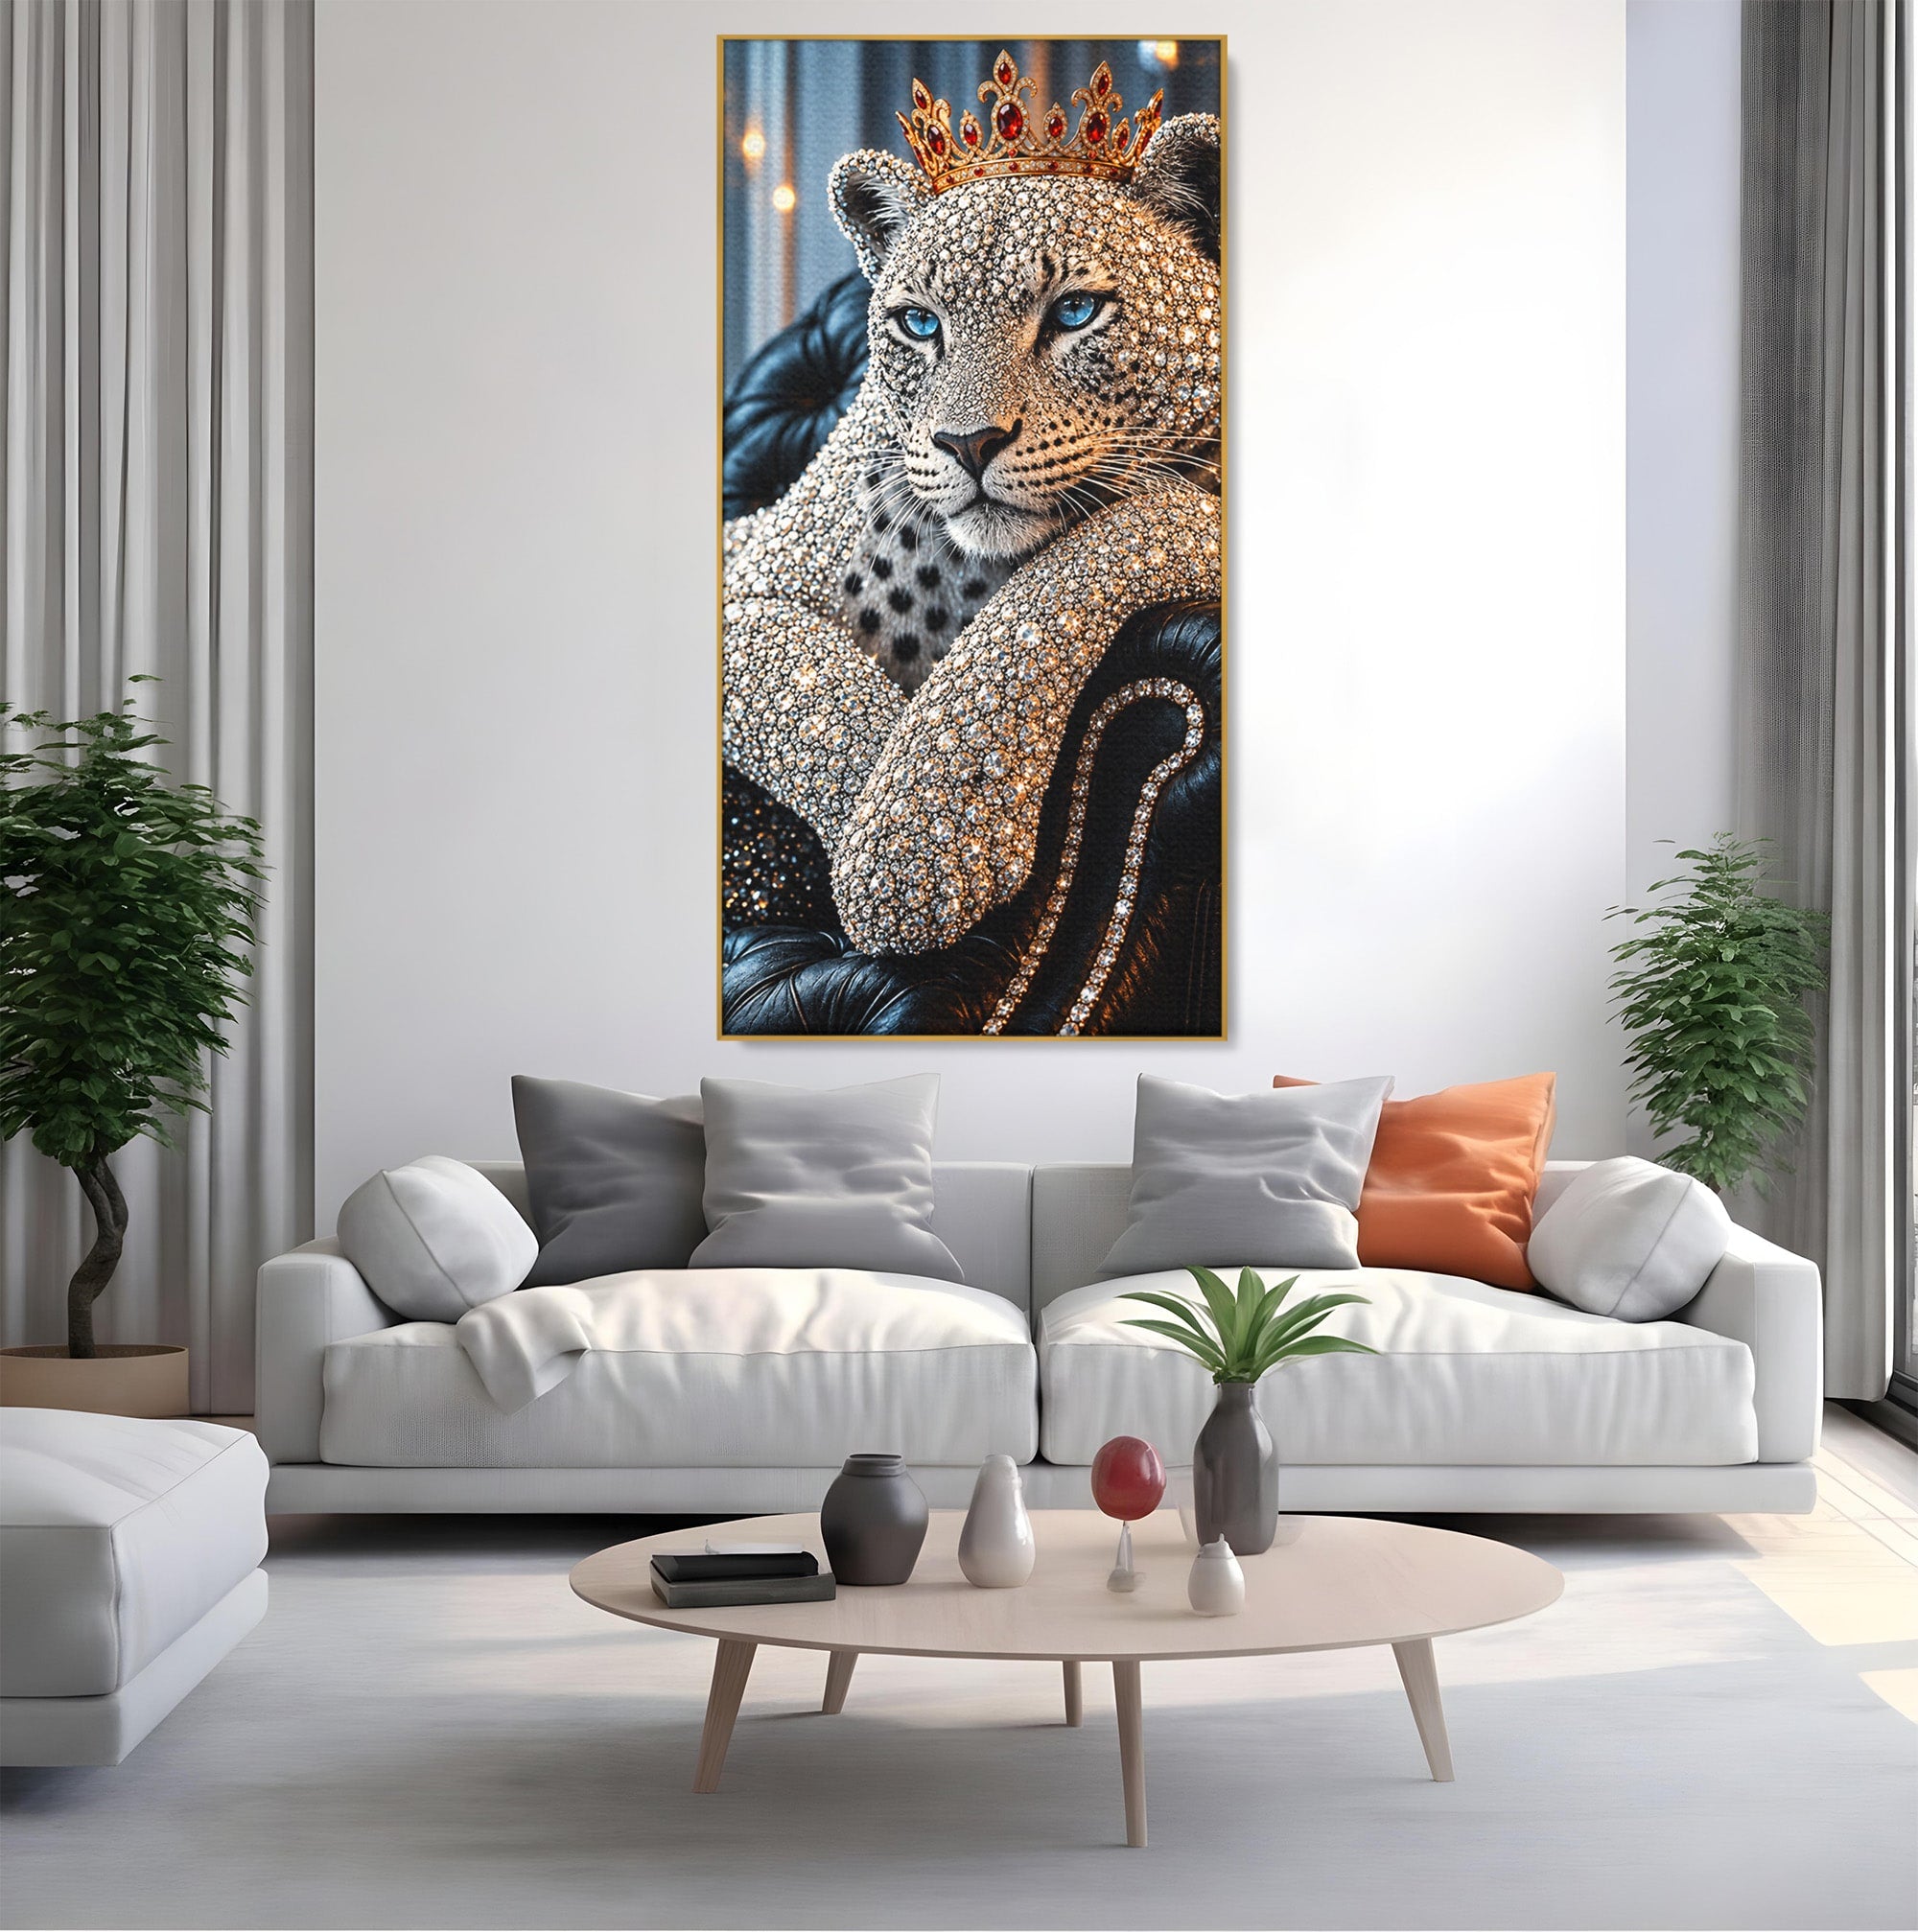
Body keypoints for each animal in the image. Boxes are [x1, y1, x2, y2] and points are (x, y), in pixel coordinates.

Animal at [723, 110, 1223, 958]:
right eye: (919, 323)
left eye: (1075, 312)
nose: (968, 442)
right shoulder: (751, 588)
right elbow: (820, 689)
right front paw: (904, 843)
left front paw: (920, 834)